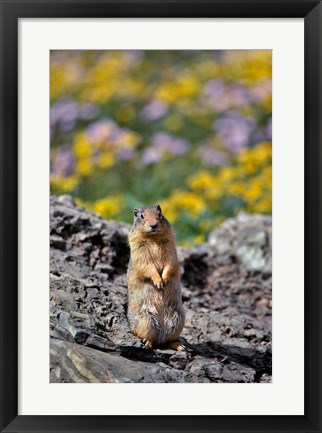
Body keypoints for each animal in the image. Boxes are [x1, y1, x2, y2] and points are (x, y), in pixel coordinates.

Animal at [127, 204, 185, 350]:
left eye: (160, 214)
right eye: (141, 216)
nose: (153, 225)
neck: (153, 238)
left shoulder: (171, 247)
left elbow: (170, 262)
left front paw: (164, 279)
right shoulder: (139, 249)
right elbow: (147, 265)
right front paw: (159, 282)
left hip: (178, 320)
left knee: (169, 340)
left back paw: (180, 346)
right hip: (146, 320)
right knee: (145, 335)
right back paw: (147, 343)